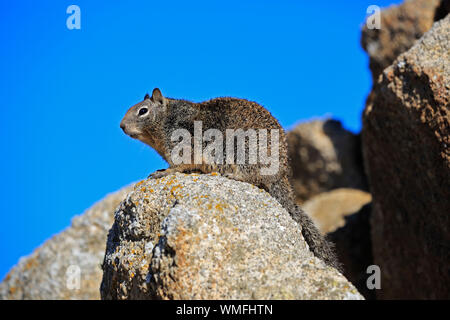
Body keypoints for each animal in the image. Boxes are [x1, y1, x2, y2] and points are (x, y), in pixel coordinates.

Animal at [120, 87, 342, 270]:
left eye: (142, 111)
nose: (121, 126)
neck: (166, 119)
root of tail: (281, 175)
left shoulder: (183, 147)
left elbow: (180, 165)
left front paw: (164, 172)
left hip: (241, 150)